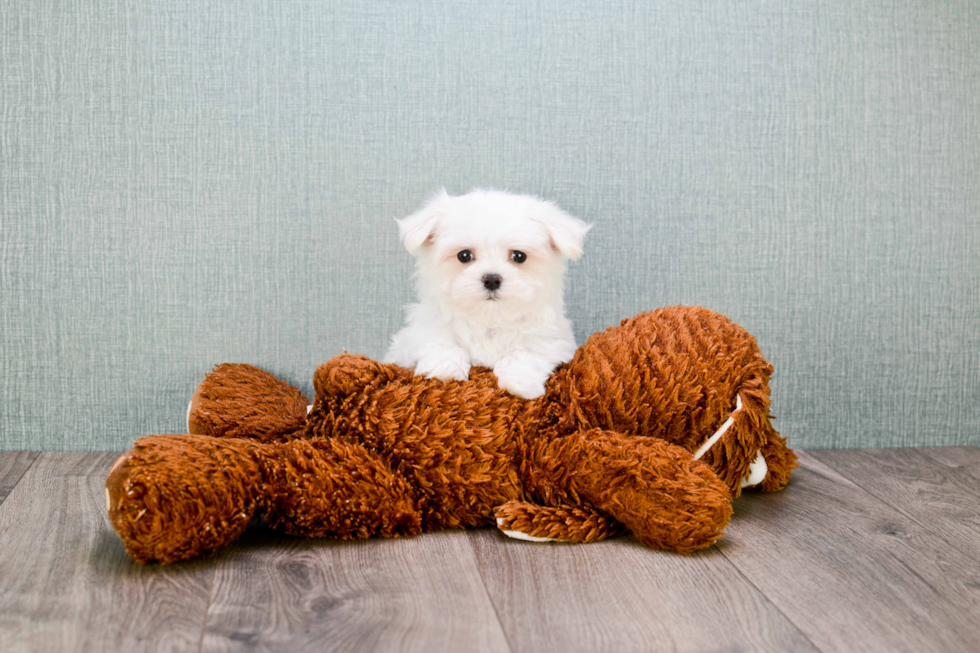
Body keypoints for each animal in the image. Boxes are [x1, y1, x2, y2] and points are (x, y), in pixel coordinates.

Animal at [384, 190, 588, 398]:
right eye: (464, 255)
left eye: (519, 256)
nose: (491, 279)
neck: (489, 319)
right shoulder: (416, 336)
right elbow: (440, 343)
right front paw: (445, 370)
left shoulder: (551, 341)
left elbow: (524, 353)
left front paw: (518, 382)